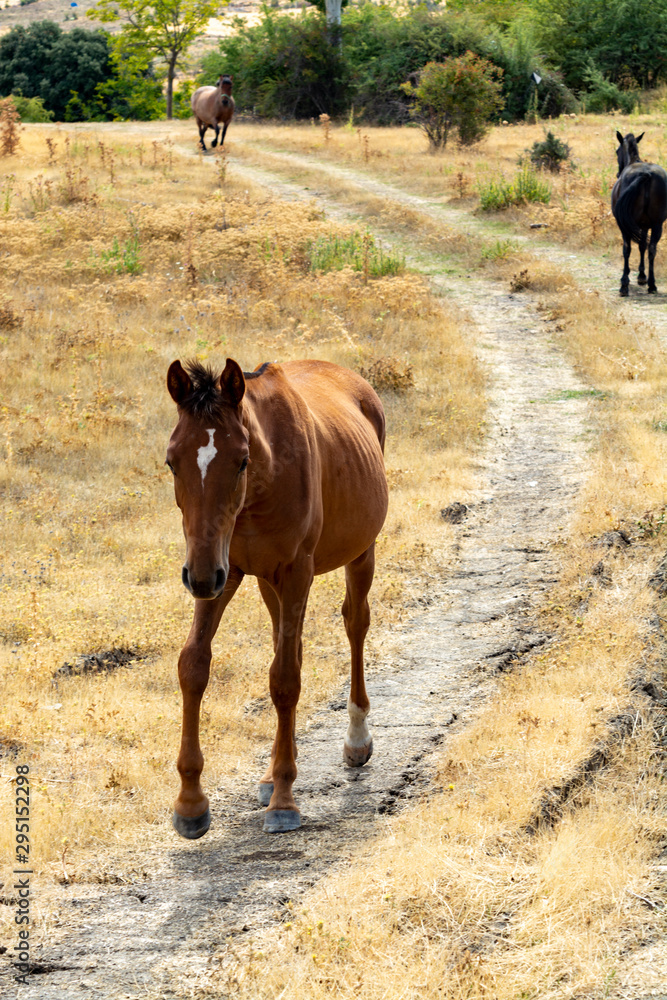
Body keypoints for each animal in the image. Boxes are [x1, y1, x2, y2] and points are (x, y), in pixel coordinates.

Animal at [166, 358, 389, 837]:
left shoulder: (292, 572)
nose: (197, 578)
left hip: (359, 553)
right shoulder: (223, 571)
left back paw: (356, 739)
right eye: (172, 462)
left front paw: (284, 800)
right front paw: (190, 803)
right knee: (288, 643)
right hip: (264, 582)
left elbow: (285, 680)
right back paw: (269, 773)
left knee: (355, 623)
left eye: (242, 460)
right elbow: (194, 665)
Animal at [611, 131, 667, 296]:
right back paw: (652, 285)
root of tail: (646, 174)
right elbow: (643, 246)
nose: (618, 173)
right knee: (652, 249)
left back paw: (624, 285)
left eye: (617, 151)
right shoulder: (645, 225)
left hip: (626, 225)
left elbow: (630, 248)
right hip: (657, 224)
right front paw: (642, 276)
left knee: (627, 249)